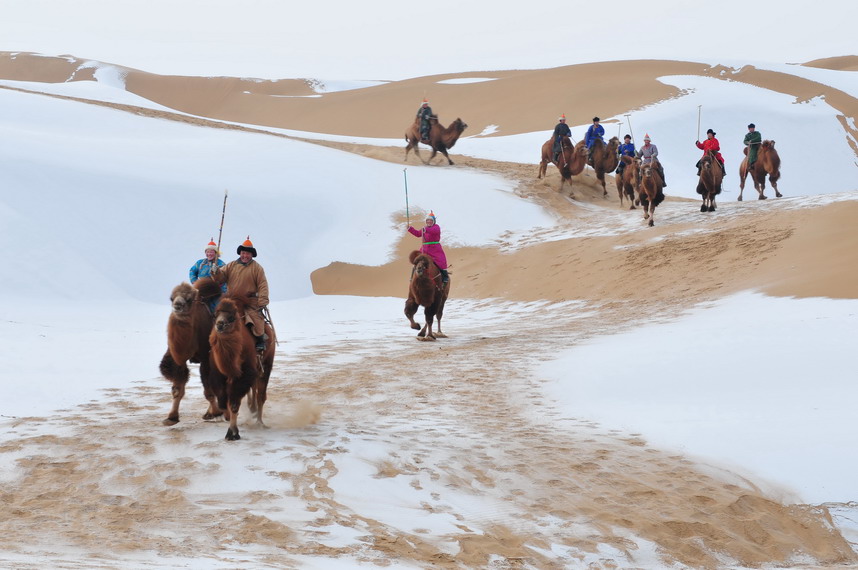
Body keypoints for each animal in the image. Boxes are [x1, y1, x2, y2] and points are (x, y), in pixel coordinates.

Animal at [158, 278, 222, 424]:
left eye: (189, 299)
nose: (177, 305)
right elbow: (177, 389)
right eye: (171, 298)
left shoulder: (205, 358)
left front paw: (216, 413)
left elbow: (208, 390)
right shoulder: (179, 360)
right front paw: (172, 417)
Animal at [207, 292, 274, 440]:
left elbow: (233, 403)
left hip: (266, 364)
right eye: (215, 315)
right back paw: (252, 410)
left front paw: (232, 433)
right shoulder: (221, 377)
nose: (219, 325)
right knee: (254, 389)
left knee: (261, 395)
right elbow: (225, 402)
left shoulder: (243, 374)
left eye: (231, 317)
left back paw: (259, 422)